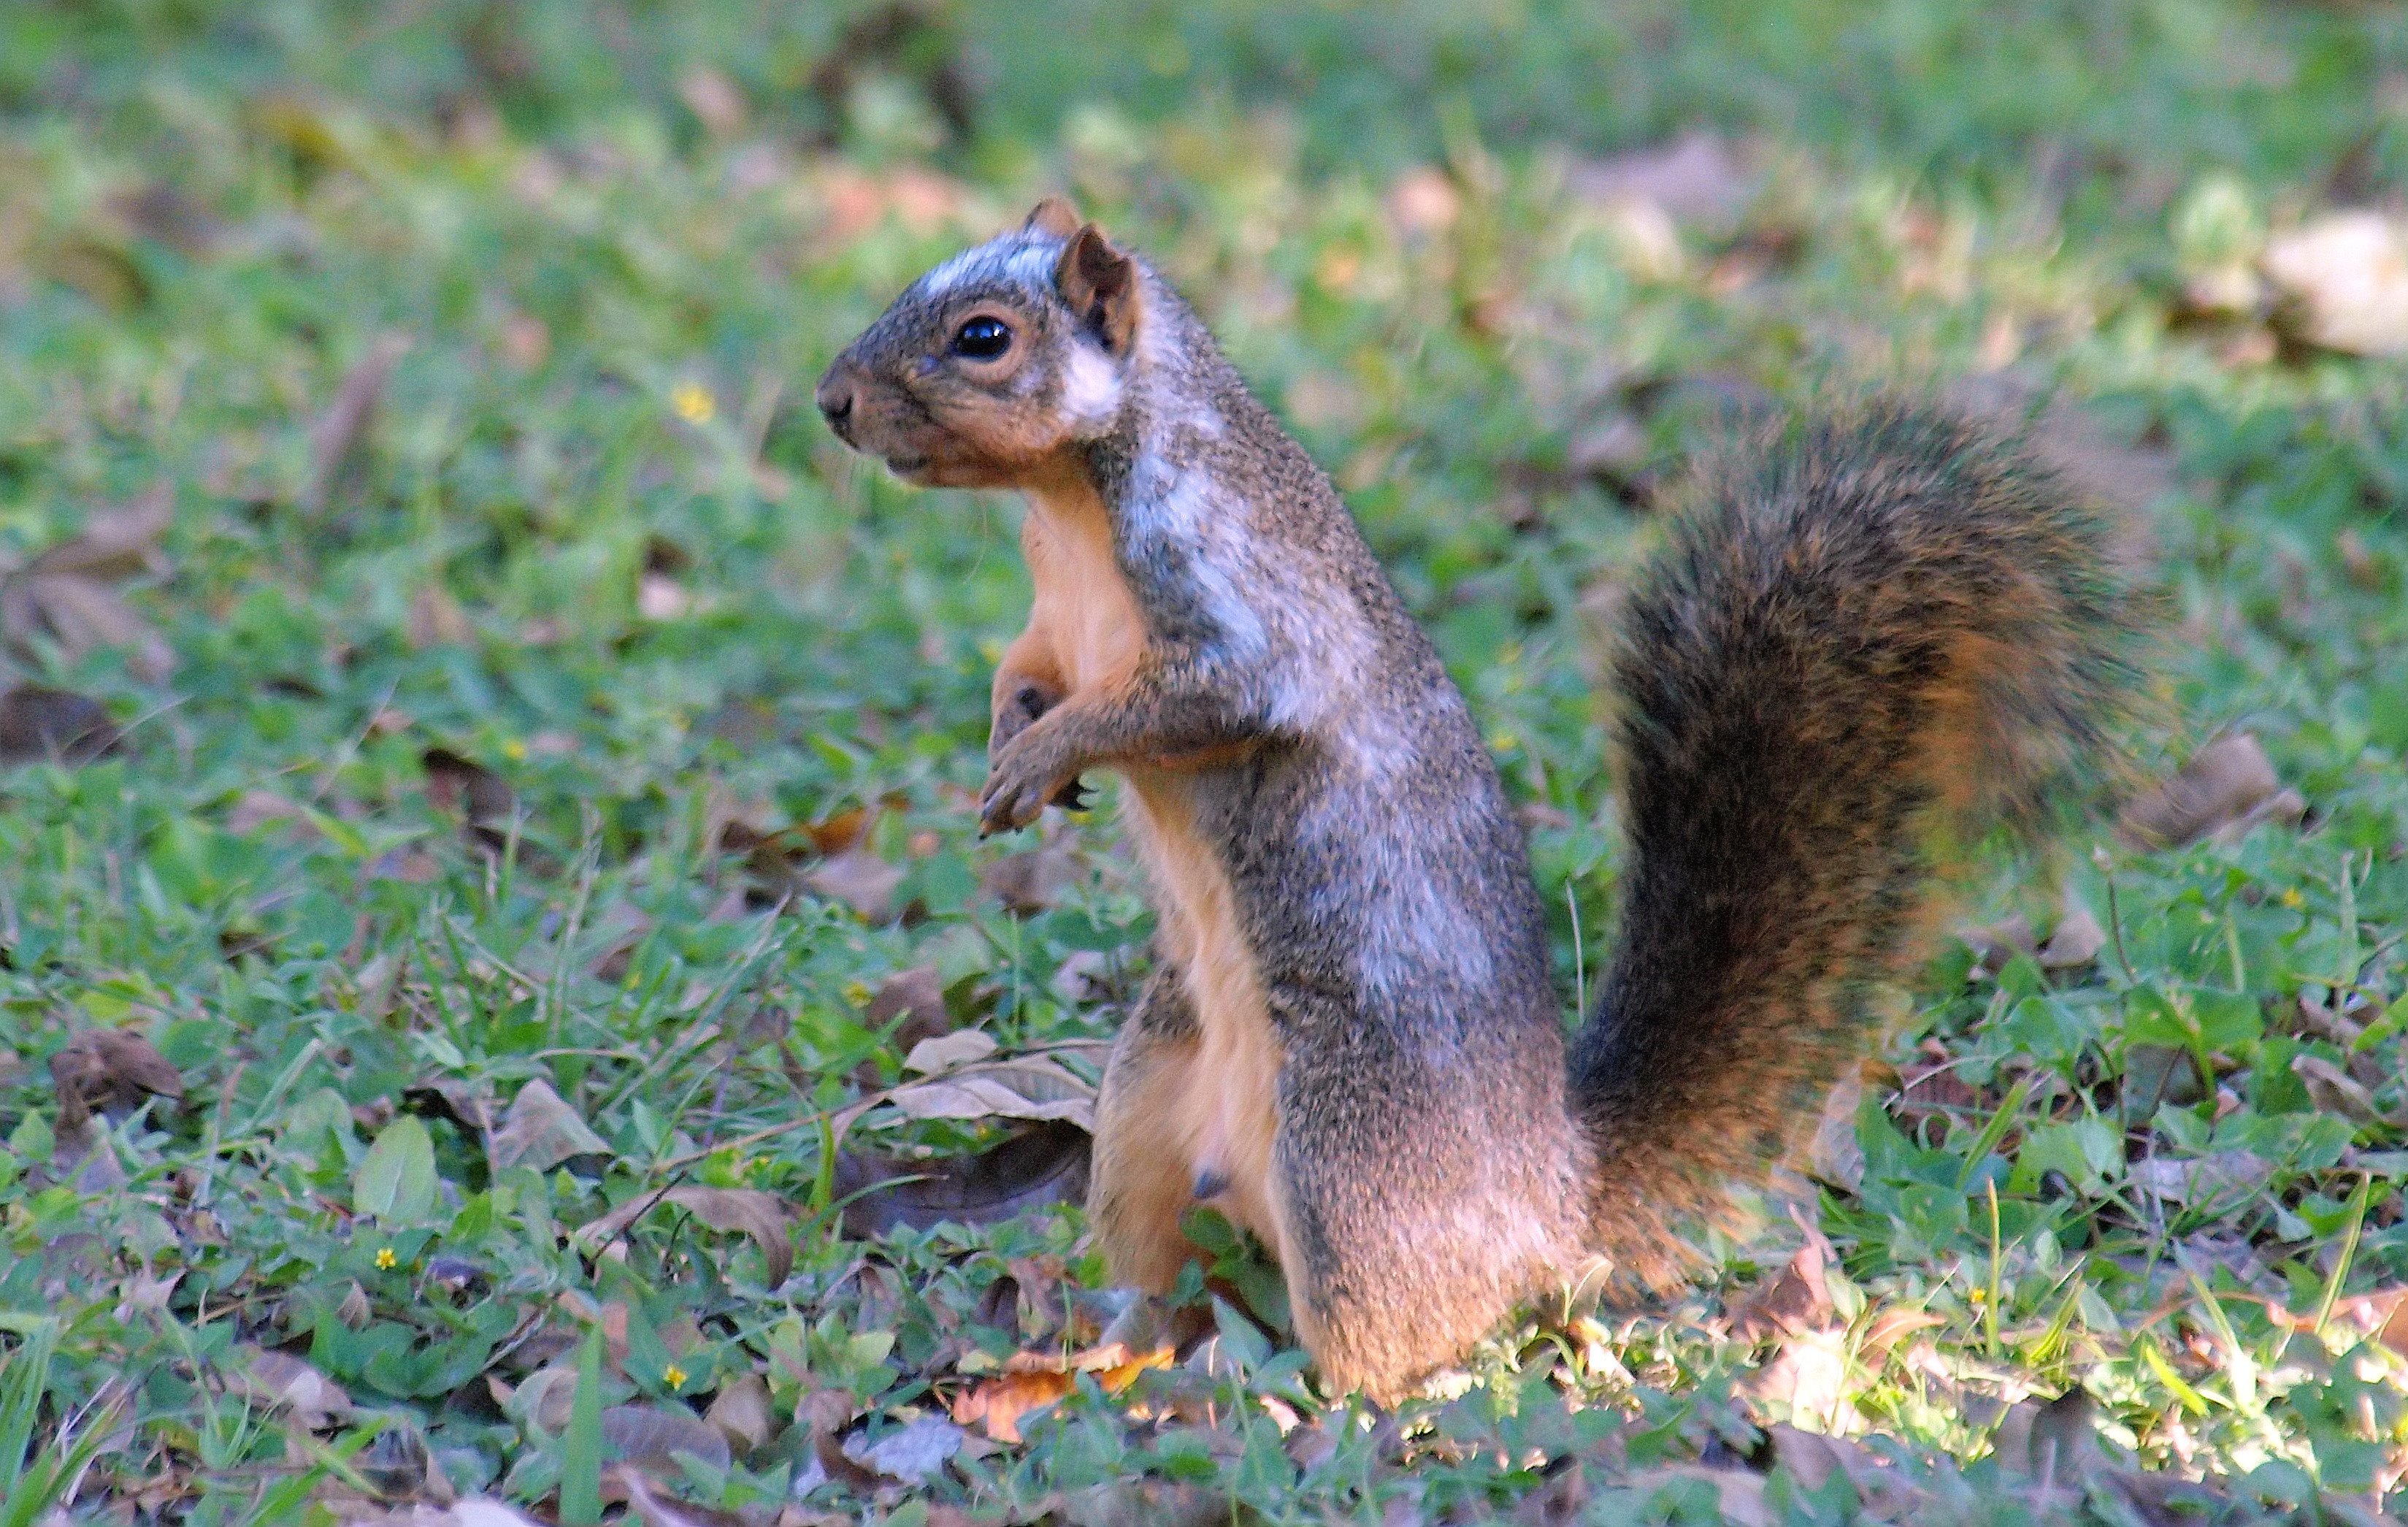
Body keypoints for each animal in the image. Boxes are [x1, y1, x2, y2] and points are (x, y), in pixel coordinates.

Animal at [815, 199, 2138, 1401]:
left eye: (984, 337)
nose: (831, 401)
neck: (1070, 501)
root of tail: (1550, 1200)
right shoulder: (1052, 617)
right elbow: (1026, 668)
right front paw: (1010, 743)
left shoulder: (1242, 608)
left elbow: (1198, 698)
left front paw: (1045, 753)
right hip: (1144, 1109)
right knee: (1165, 1281)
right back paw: (1094, 1358)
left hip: (1347, 1166)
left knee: (1401, 1351)